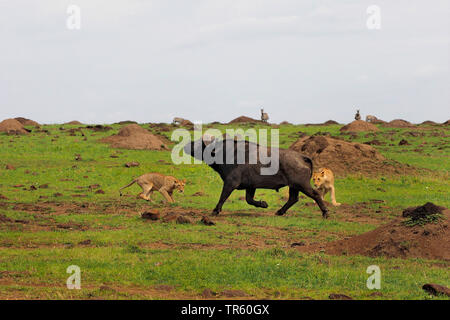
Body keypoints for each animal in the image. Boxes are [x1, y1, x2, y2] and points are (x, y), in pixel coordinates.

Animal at [185, 138, 328, 218]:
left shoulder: (230, 183)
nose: (186, 145)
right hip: (294, 186)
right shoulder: (250, 187)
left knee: (315, 194)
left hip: (302, 185)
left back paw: (325, 212)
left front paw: (215, 211)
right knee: (293, 198)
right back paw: (279, 211)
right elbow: (249, 200)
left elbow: (223, 197)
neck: (227, 153)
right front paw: (263, 204)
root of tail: (302, 157)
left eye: (198, 144)